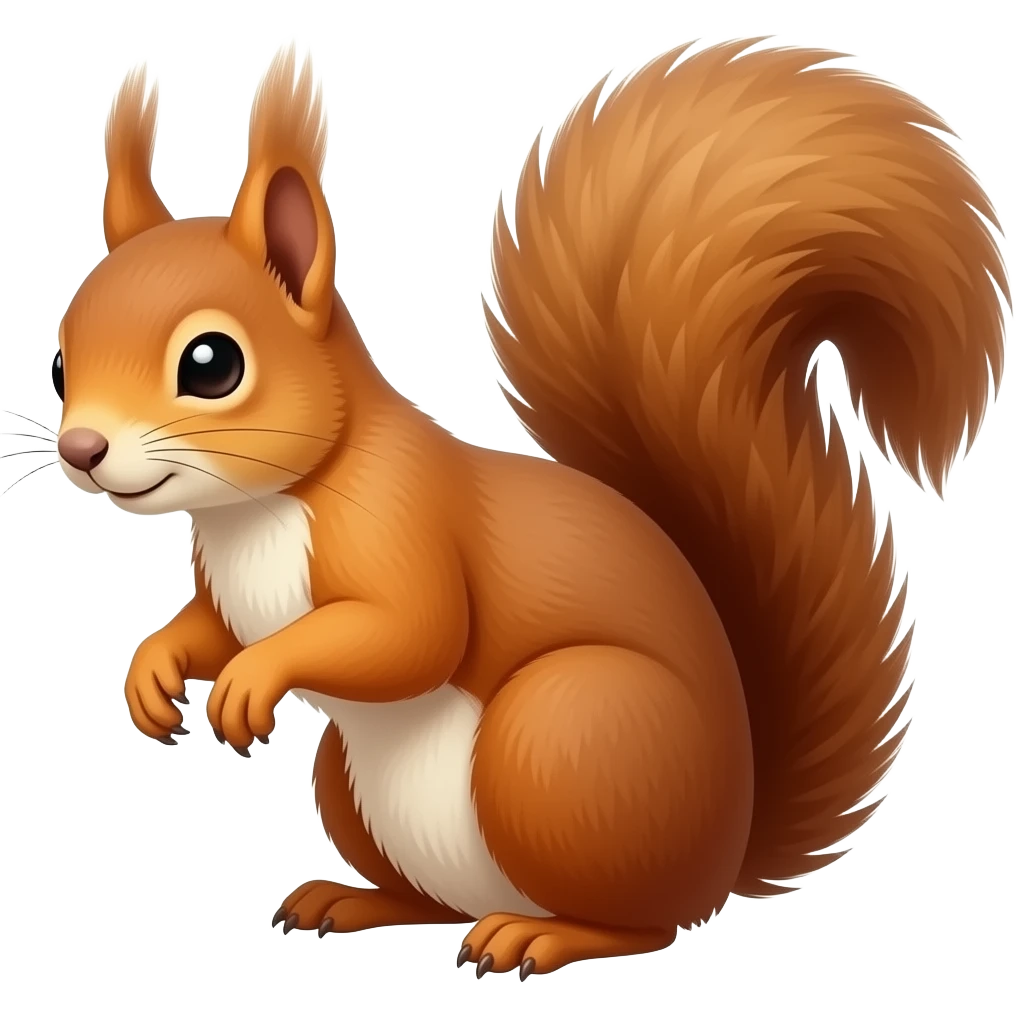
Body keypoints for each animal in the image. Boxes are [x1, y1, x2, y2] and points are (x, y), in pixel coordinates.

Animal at [51, 35, 1008, 978]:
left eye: (212, 364)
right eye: (61, 364)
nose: (81, 449)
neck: (260, 511)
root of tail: (724, 855)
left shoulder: (403, 524)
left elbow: (412, 632)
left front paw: (253, 680)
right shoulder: (229, 587)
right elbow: (210, 626)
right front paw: (153, 672)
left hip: (562, 739)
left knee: (642, 922)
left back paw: (541, 937)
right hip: (356, 783)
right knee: (435, 901)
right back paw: (356, 901)